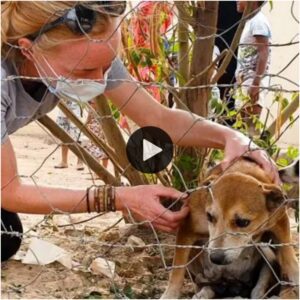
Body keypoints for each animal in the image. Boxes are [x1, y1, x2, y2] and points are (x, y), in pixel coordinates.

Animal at [162, 158, 298, 298]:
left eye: (243, 222)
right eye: (209, 216)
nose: (216, 258)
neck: (241, 171)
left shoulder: (280, 221)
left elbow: (289, 256)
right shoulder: (187, 229)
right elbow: (177, 270)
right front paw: (169, 295)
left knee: (260, 285)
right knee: (206, 284)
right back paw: (204, 293)